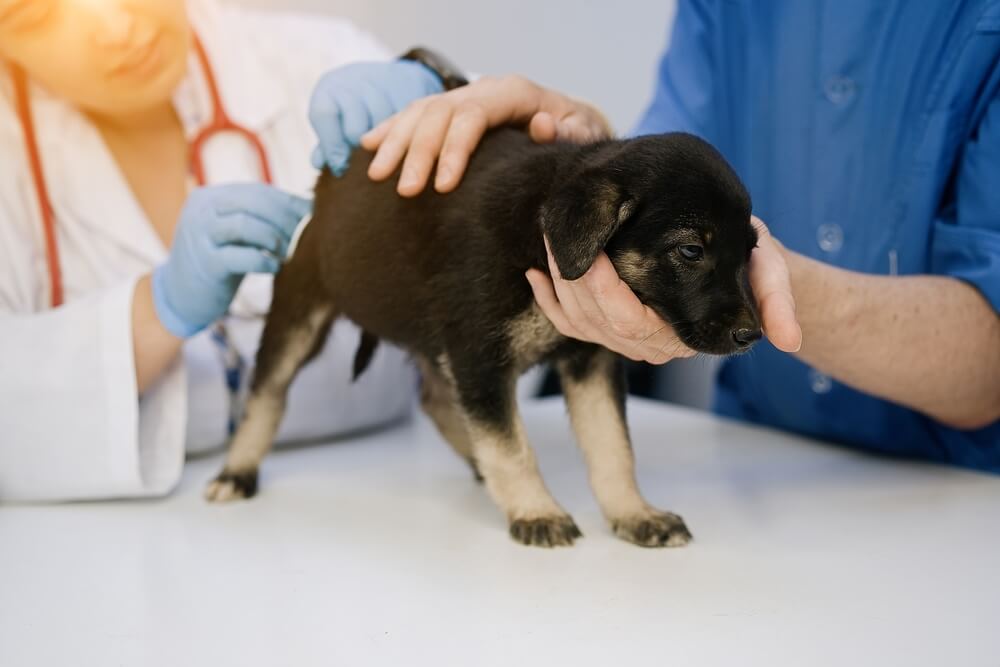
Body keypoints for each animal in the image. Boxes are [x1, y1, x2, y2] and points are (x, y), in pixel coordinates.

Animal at [205, 128, 756, 552]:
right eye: (691, 250)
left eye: (748, 252)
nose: (751, 335)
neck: (540, 238)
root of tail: (324, 189)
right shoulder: (479, 355)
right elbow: (512, 447)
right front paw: (536, 511)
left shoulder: (590, 361)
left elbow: (612, 446)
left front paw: (634, 513)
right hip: (301, 311)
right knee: (266, 393)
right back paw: (237, 472)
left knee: (435, 398)